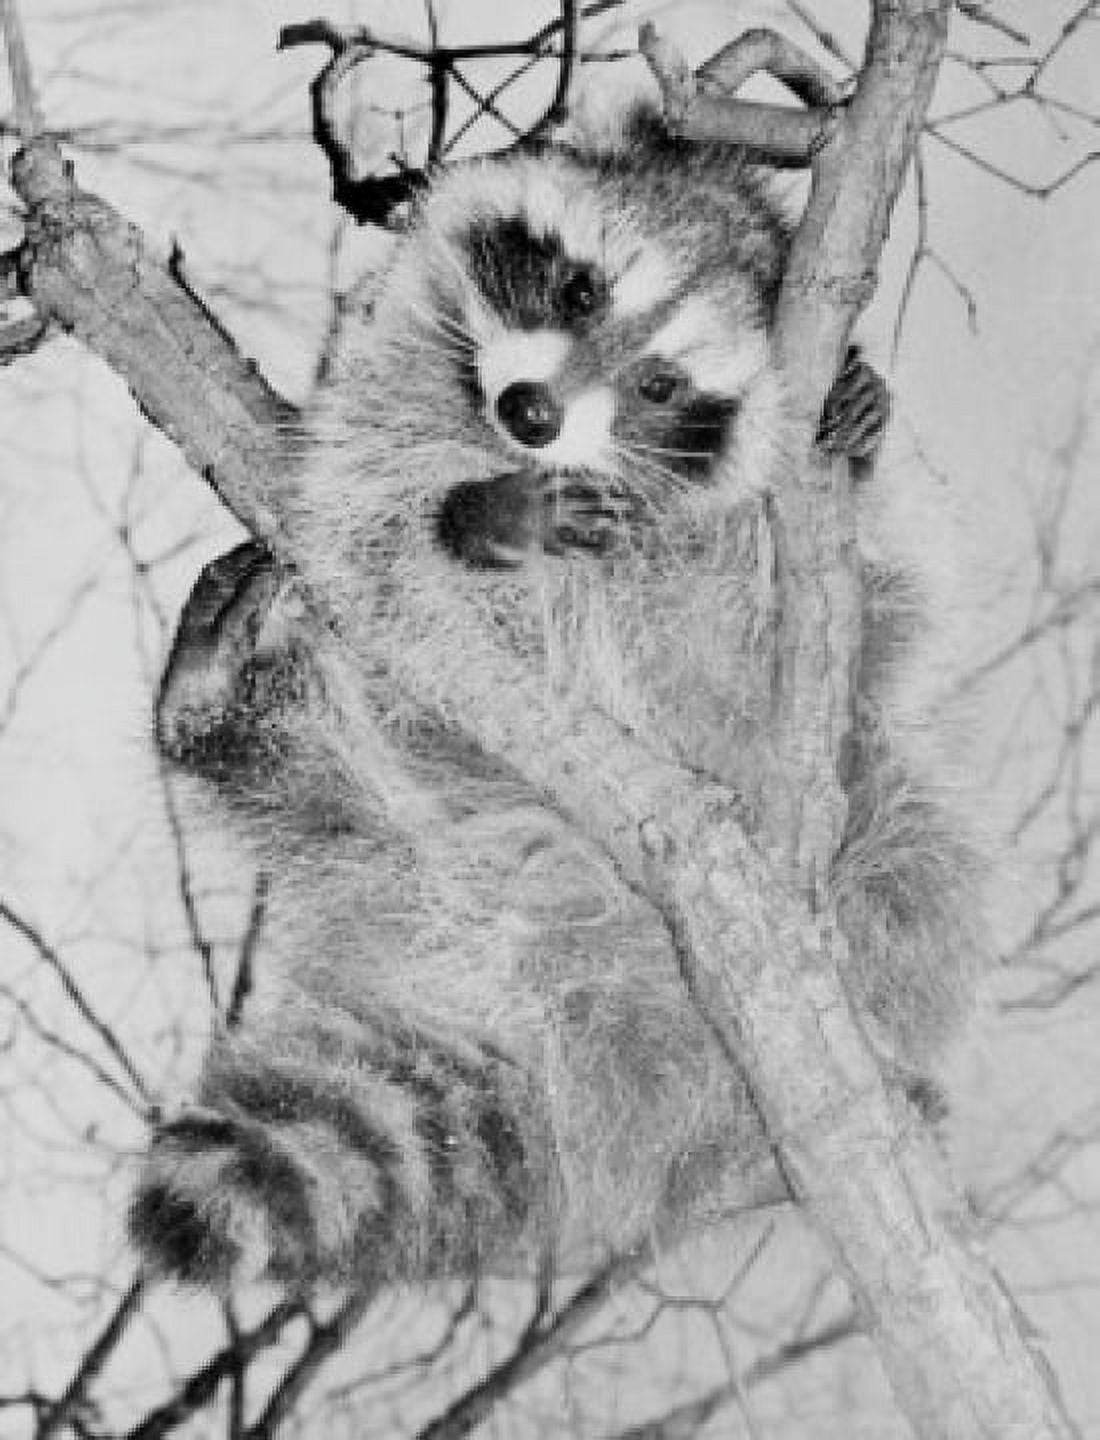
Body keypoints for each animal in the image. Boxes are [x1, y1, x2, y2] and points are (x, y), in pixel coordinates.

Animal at [130, 114, 980, 1295]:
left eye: (662, 386)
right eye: (579, 291)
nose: (529, 412)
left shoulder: (797, 593)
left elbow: (840, 616)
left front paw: (860, 426)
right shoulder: (370, 405)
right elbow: (362, 535)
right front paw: (477, 518)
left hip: (867, 841)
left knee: (913, 870)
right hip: (384, 831)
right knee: (305, 764)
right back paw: (221, 712)